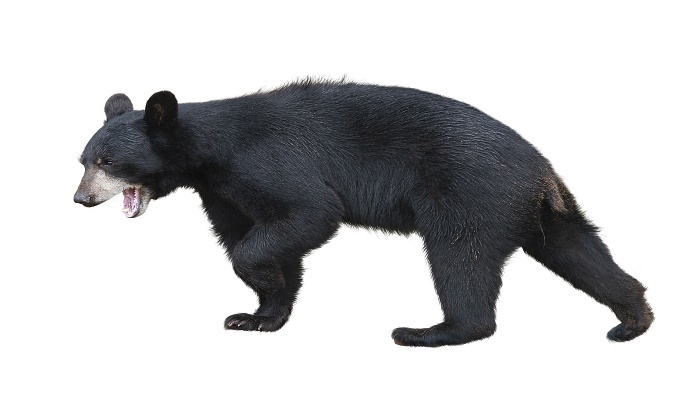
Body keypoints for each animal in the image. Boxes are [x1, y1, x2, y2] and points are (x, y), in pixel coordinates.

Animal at [74, 80, 653, 347]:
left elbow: (306, 213)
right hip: (540, 212)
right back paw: (632, 319)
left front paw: (257, 287)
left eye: (107, 161)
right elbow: (259, 236)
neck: (209, 152)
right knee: (580, 252)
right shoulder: (221, 191)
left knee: (459, 259)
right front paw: (258, 315)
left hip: (468, 193)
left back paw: (430, 332)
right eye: (83, 161)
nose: (81, 199)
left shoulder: (267, 161)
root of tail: (541, 170)